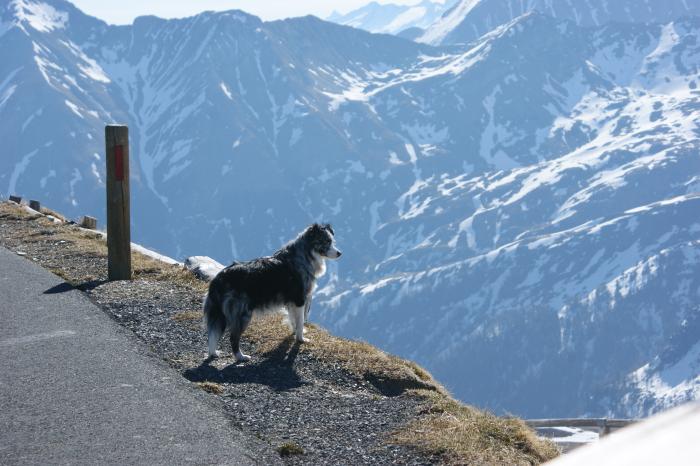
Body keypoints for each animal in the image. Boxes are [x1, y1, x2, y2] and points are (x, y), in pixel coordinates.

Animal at [202, 222, 342, 360]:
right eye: (326, 241)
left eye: (332, 241)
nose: (340, 253)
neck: (305, 254)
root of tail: (219, 278)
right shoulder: (299, 299)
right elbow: (301, 321)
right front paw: (301, 339)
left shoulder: (291, 302)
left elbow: (294, 320)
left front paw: (295, 333)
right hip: (242, 313)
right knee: (233, 337)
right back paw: (241, 356)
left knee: (213, 335)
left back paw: (213, 353)